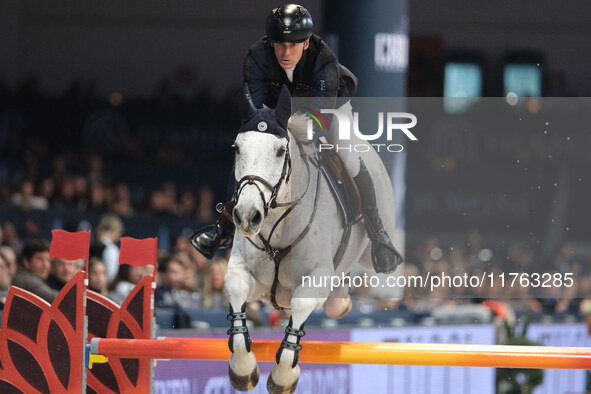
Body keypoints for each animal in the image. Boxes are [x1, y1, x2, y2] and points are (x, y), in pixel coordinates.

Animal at [227, 84, 398, 392]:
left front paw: (283, 377)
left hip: (372, 243)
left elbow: (302, 305)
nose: (247, 216)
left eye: (280, 151)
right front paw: (242, 369)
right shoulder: (247, 273)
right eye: (237, 148)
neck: (278, 223)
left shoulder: (316, 276)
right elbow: (236, 289)